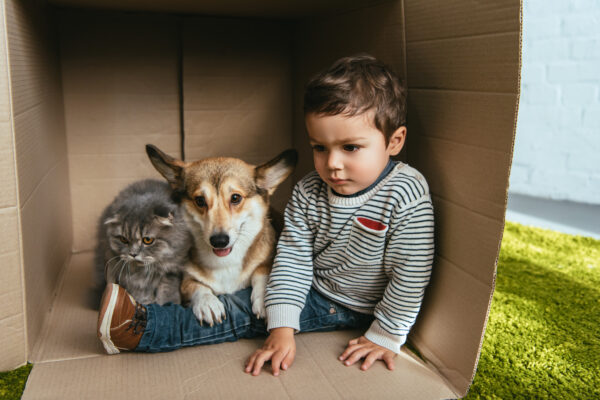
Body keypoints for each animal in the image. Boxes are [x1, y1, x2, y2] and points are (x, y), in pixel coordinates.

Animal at [148, 145, 298, 326]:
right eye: (200, 200)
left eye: (235, 198)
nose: (219, 241)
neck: (225, 263)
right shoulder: (185, 280)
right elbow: (195, 285)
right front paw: (207, 303)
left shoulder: (267, 260)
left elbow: (262, 273)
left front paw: (264, 300)